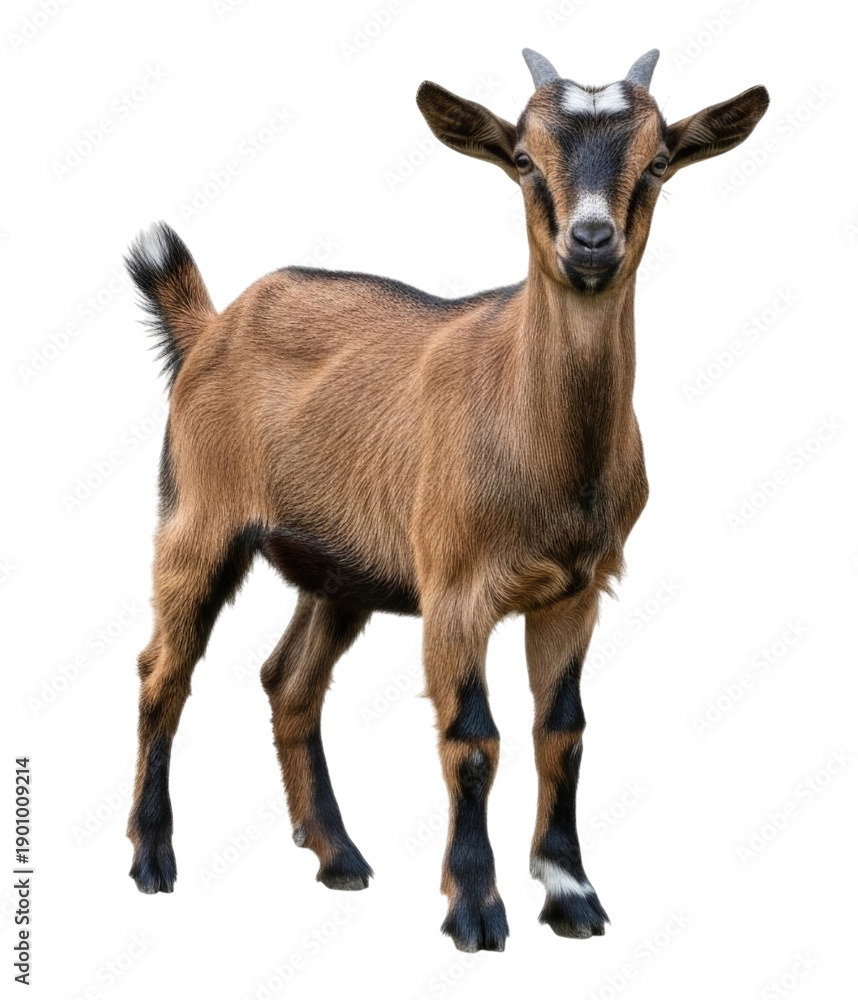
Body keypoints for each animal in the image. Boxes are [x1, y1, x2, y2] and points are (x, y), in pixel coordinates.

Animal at [125, 48, 768, 952]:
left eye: (659, 161)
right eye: (525, 159)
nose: (591, 240)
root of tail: (212, 325)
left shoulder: (576, 588)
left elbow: (562, 730)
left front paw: (571, 895)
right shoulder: (455, 586)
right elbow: (472, 738)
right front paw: (475, 907)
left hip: (342, 568)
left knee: (288, 680)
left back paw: (338, 855)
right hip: (198, 514)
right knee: (164, 670)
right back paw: (153, 859)